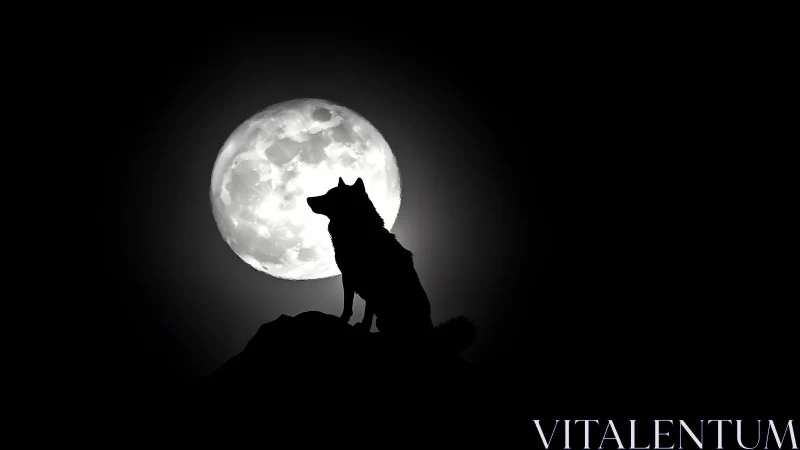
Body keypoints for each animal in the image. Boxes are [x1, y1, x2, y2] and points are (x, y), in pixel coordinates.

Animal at [307, 177, 476, 354]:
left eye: (329, 195)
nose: (308, 199)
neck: (360, 233)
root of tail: (433, 333)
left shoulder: (371, 284)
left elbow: (367, 312)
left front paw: (363, 329)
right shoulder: (347, 278)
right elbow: (348, 306)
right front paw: (343, 321)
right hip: (382, 319)